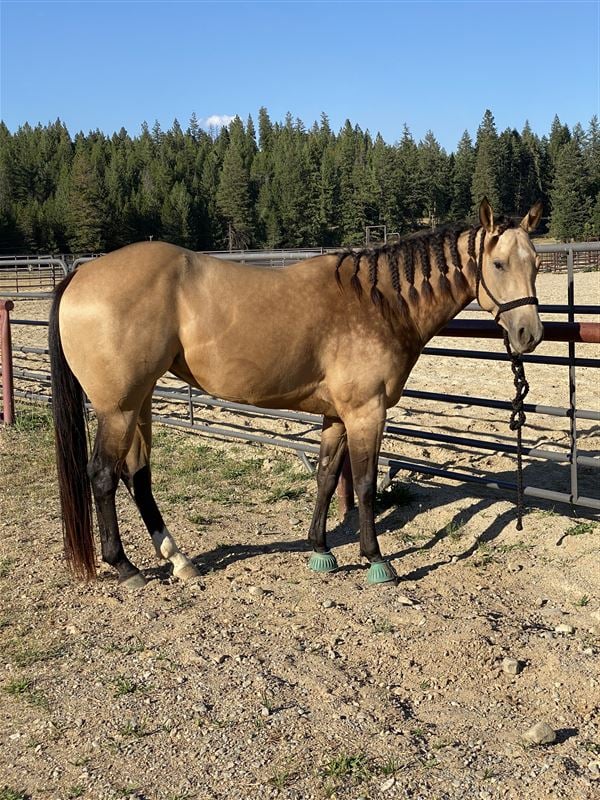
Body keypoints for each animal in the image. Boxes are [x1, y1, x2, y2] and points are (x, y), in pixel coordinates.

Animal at [48, 198, 543, 588]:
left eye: (536, 264)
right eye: (498, 264)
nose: (529, 334)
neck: (379, 303)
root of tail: (82, 274)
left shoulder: (337, 415)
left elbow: (325, 476)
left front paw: (320, 549)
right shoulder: (366, 412)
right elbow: (364, 483)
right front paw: (375, 559)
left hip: (140, 403)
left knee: (138, 476)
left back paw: (178, 560)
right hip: (118, 408)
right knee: (103, 476)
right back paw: (125, 567)